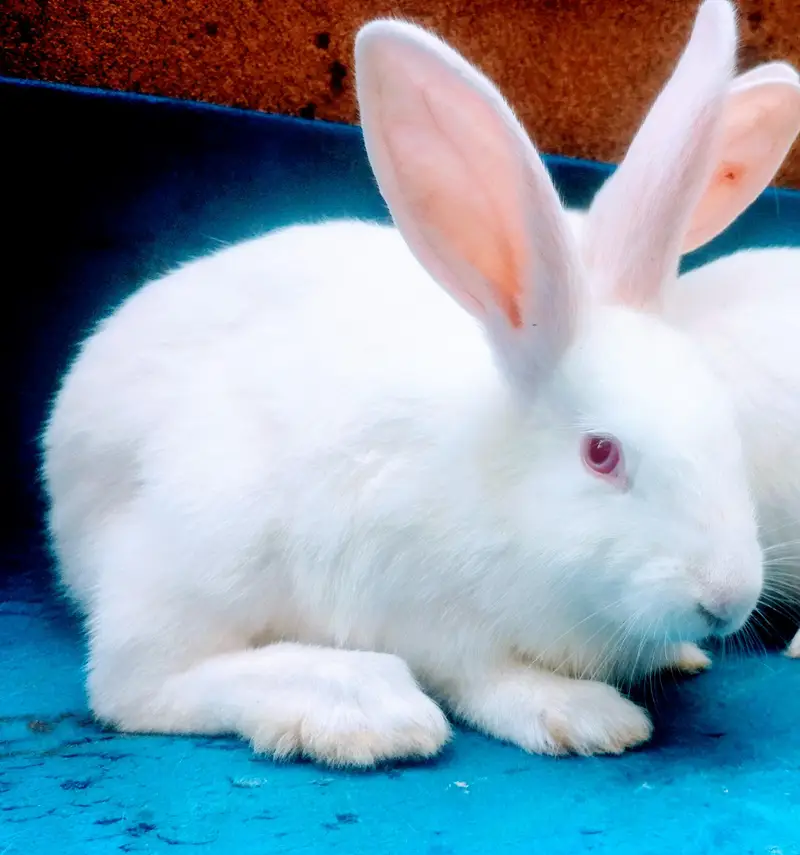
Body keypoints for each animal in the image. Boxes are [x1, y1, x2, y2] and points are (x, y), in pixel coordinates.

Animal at [41, 0, 764, 767]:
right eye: (601, 453)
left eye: (726, 426)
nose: (728, 599)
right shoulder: (432, 611)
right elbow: (489, 679)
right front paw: (586, 715)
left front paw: (678, 655)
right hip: (205, 535)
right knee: (136, 683)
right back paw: (360, 708)